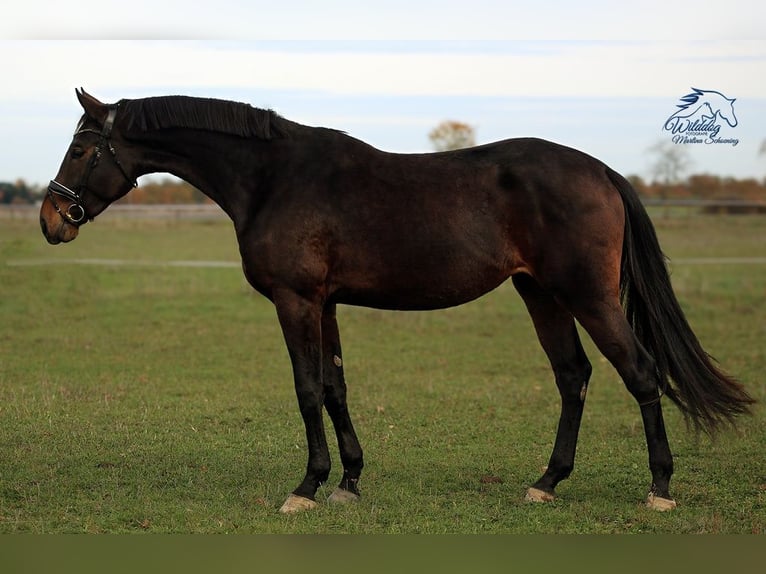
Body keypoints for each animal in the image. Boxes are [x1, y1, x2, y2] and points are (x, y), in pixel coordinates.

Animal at [40, 89, 754, 514]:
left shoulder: (296, 301)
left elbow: (306, 389)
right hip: (540, 293)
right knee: (573, 376)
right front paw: (349, 481)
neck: (273, 178)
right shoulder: (325, 303)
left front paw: (306, 486)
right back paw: (547, 481)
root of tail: (602, 170)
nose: (51, 220)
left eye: (79, 147)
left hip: (587, 294)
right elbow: (335, 387)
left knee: (639, 373)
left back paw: (659, 487)